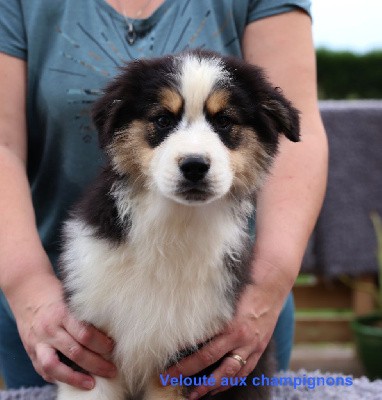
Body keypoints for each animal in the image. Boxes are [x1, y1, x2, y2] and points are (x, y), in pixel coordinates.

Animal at [57, 50, 298, 400]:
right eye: (163, 120)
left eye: (224, 121)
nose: (195, 166)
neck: (175, 223)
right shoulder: (90, 339)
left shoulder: (187, 359)